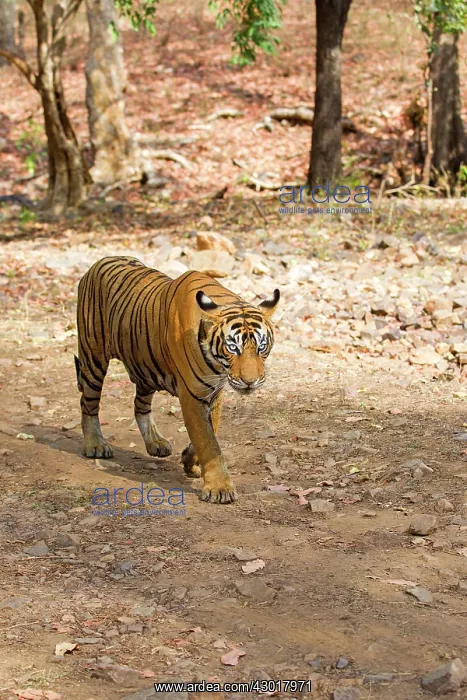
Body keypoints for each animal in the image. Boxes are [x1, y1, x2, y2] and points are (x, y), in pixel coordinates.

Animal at [75, 256, 280, 504]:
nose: (251, 381)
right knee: (88, 403)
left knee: (140, 406)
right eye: (233, 347)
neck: (218, 366)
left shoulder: (215, 393)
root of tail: (101, 261)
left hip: (145, 367)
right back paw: (95, 444)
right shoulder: (192, 394)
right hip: (93, 358)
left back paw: (156, 443)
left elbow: (210, 430)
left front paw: (190, 461)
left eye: (261, 346)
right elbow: (208, 441)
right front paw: (219, 488)